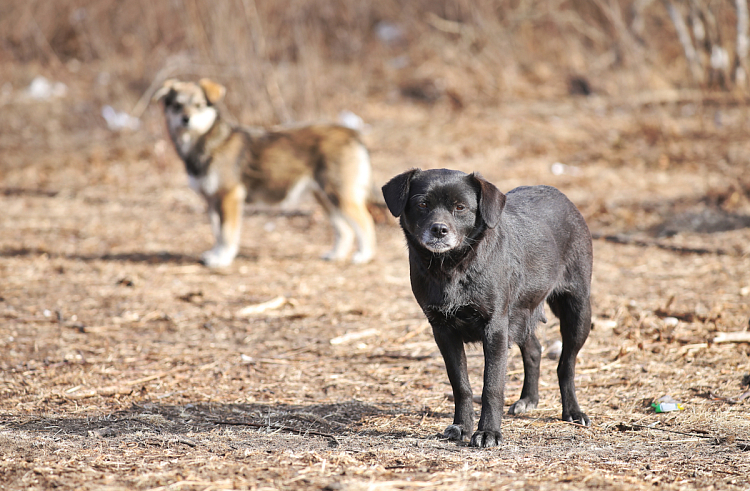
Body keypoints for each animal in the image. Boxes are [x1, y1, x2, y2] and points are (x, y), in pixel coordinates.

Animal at [154, 79, 376, 268]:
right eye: (176, 105)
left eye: (199, 105)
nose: (186, 119)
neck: (207, 143)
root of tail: (352, 133)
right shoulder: (211, 201)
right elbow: (217, 233)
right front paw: (215, 254)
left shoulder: (229, 197)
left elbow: (227, 234)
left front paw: (223, 258)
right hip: (325, 198)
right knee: (345, 230)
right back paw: (336, 255)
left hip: (340, 196)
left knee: (366, 224)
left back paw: (363, 256)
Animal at [384, 170, 596, 450]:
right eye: (422, 204)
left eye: (460, 207)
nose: (439, 229)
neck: (451, 267)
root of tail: (562, 196)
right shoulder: (443, 331)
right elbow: (461, 385)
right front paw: (462, 427)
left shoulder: (495, 328)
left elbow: (491, 386)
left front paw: (488, 432)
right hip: (520, 313)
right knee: (534, 349)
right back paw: (528, 399)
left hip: (576, 310)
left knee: (566, 364)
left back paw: (572, 411)